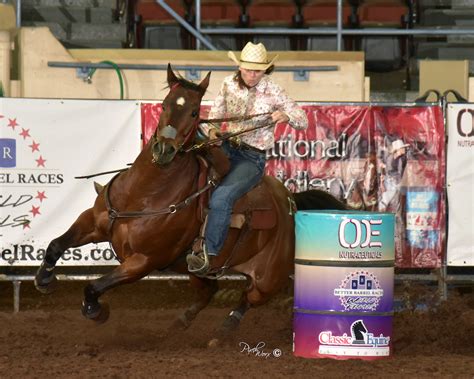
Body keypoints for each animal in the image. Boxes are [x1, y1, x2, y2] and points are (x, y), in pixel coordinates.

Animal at [34, 64, 344, 342]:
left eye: (195, 112)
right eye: (163, 106)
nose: (164, 149)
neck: (143, 194)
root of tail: (291, 203)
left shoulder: (144, 261)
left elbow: (94, 286)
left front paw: (96, 311)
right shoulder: (94, 222)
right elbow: (56, 245)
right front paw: (44, 280)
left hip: (269, 277)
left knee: (249, 297)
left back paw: (223, 331)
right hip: (195, 270)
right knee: (209, 291)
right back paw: (180, 323)